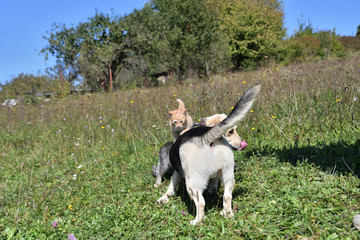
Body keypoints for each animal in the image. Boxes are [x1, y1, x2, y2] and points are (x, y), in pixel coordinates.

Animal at [156, 84, 260, 225]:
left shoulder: (178, 172)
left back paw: (196, 222)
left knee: (201, 203)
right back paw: (227, 214)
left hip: (192, 183)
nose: (243, 144)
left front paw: (162, 198)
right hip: (228, 175)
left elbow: (171, 187)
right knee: (227, 196)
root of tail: (206, 137)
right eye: (231, 131)